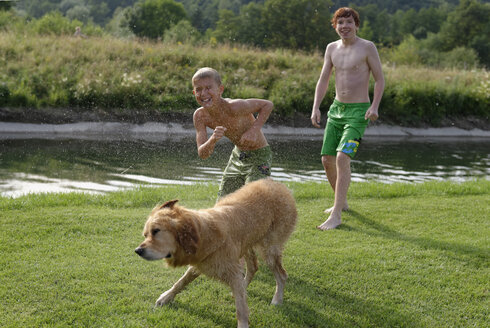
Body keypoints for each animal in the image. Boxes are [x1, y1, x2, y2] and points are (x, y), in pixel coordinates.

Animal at [134, 179, 296, 328]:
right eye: (145, 234)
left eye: (156, 231)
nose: (138, 251)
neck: (202, 236)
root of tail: (281, 186)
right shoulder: (202, 262)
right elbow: (182, 281)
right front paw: (166, 297)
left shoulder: (230, 269)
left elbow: (241, 309)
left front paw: (243, 322)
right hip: (247, 245)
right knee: (253, 268)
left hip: (268, 250)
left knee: (281, 275)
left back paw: (277, 299)